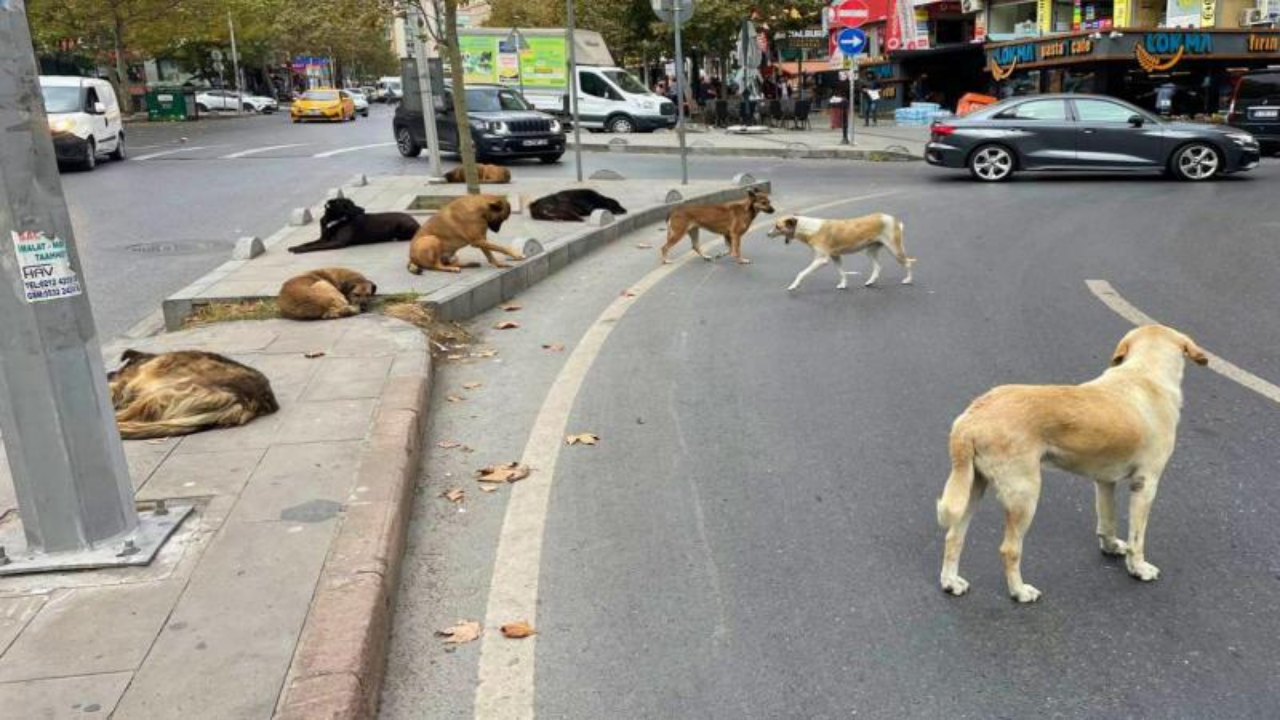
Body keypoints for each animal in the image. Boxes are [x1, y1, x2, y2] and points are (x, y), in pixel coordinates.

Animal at [289, 196, 419, 252]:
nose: (363, 209)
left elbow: (315, 247)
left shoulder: (337, 242)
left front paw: (299, 250)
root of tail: (416, 222)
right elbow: (308, 243)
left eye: (352, 203)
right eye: (348, 205)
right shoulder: (323, 238)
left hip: (403, 226)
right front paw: (295, 247)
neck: (334, 220)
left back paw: (394, 238)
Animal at [762, 212, 916, 292]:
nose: (767, 234)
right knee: (878, 267)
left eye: (777, 226)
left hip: (895, 250)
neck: (808, 228)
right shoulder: (836, 256)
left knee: (908, 263)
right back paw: (870, 282)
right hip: (870, 251)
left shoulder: (821, 260)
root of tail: (893, 219)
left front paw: (794, 285)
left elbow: (801, 273)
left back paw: (908, 280)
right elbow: (842, 272)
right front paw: (843, 284)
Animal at [936, 324, 1203, 599]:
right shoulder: (1146, 483)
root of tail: (971, 418)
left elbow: (1107, 520)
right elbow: (1137, 538)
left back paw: (951, 582)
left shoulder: (1104, 482)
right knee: (1009, 549)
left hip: (972, 488)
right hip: (1024, 496)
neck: (1145, 373)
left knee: (953, 536)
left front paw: (1110, 547)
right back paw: (1019, 592)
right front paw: (1138, 568)